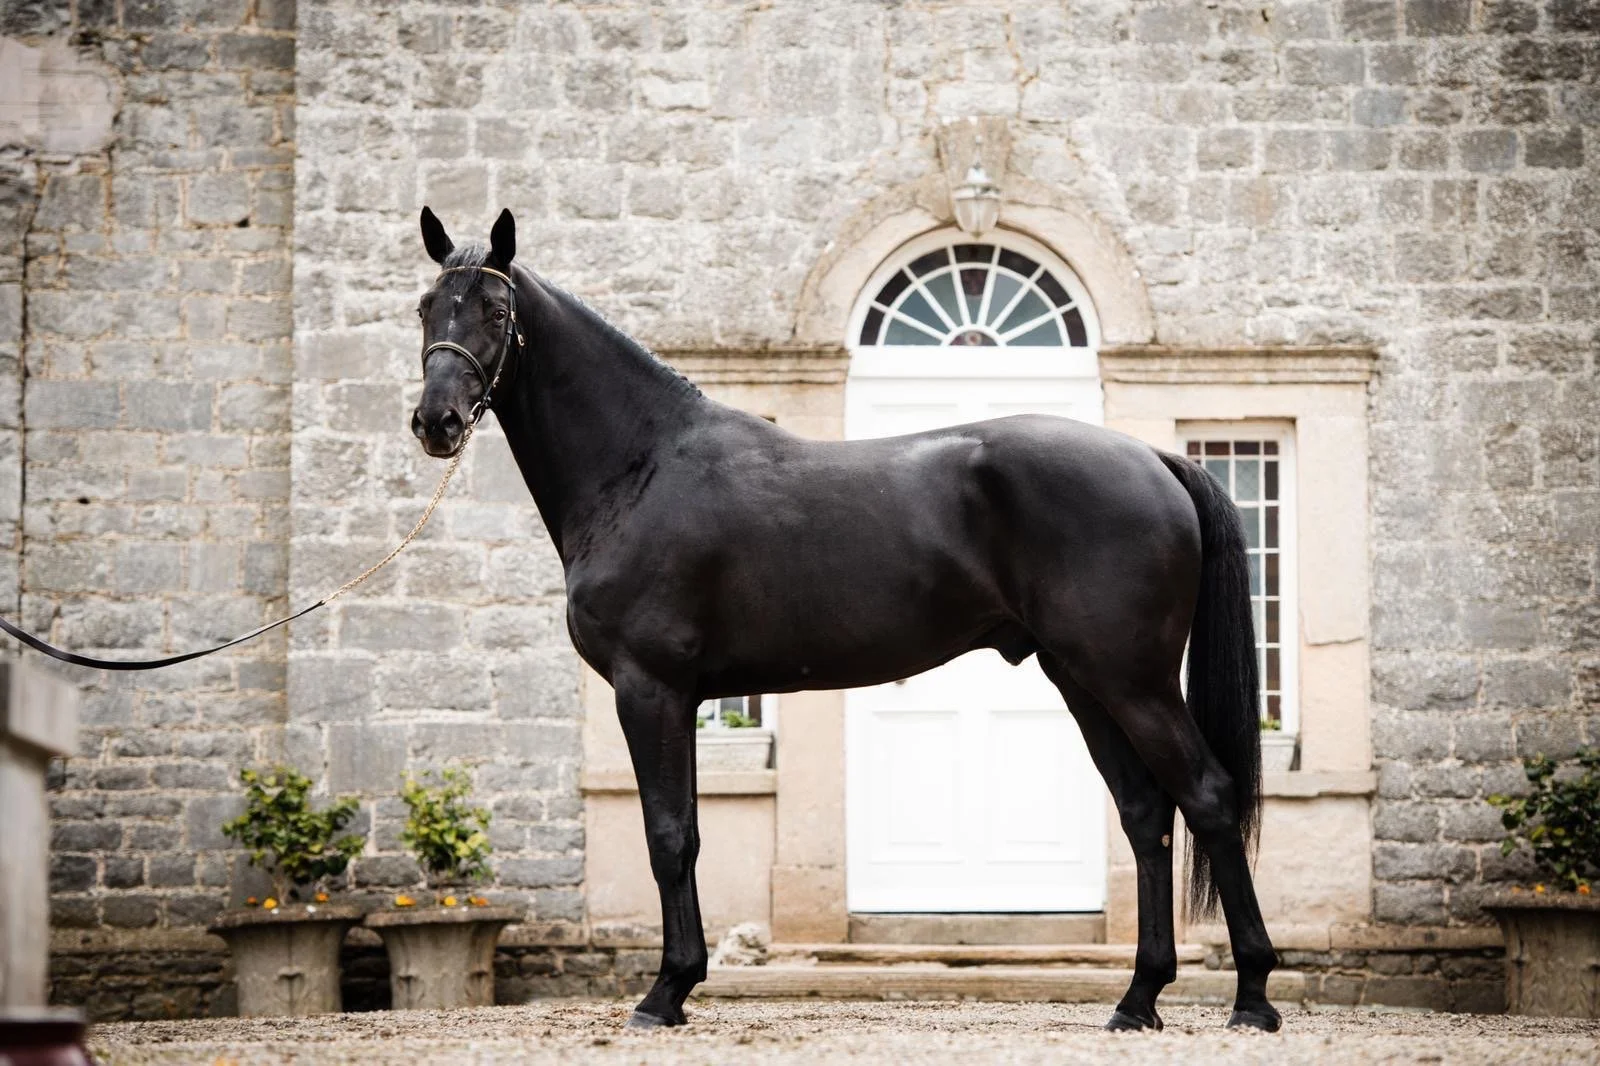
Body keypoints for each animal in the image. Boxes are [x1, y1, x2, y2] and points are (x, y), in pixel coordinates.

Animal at [408, 207, 1280, 1033]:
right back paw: (1139, 999)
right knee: (1145, 813)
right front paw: (681, 986)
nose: (436, 422)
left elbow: (668, 836)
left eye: (494, 309)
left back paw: (1252, 997)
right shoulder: (680, 698)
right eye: (425, 307)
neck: (641, 467)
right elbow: (684, 832)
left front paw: (664, 993)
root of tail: (1155, 460)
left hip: (1132, 680)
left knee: (1205, 797)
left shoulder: (648, 687)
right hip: (1084, 679)